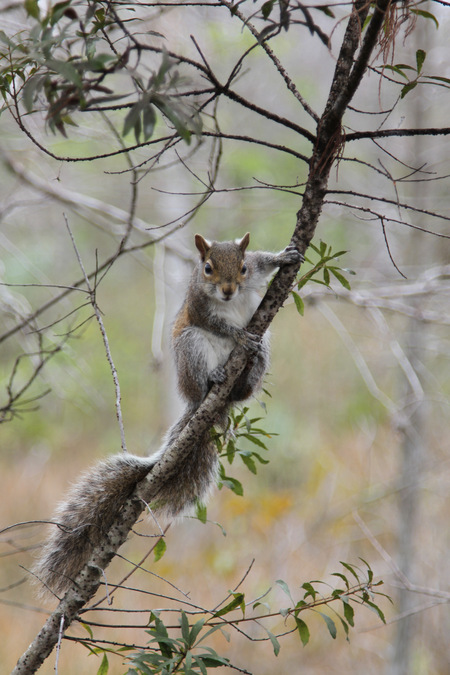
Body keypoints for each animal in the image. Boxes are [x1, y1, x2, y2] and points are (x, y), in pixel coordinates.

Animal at [33, 232, 302, 596]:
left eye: (243, 268)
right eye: (207, 268)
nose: (228, 290)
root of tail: (208, 403)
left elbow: (266, 262)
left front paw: (285, 256)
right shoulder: (198, 307)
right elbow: (214, 322)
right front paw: (237, 334)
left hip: (264, 344)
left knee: (252, 372)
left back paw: (246, 378)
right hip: (191, 348)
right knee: (203, 371)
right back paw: (214, 379)